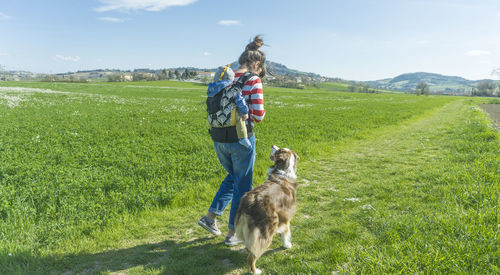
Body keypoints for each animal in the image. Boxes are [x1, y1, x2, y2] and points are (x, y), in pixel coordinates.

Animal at [235, 146, 300, 274]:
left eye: (279, 149)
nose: (272, 146)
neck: (283, 172)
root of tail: (248, 202)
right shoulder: (286, 217)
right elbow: (286, 232)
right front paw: (286, 245)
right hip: (265, 231)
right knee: (252, 256)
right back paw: (255, 271)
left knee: (249, 248)